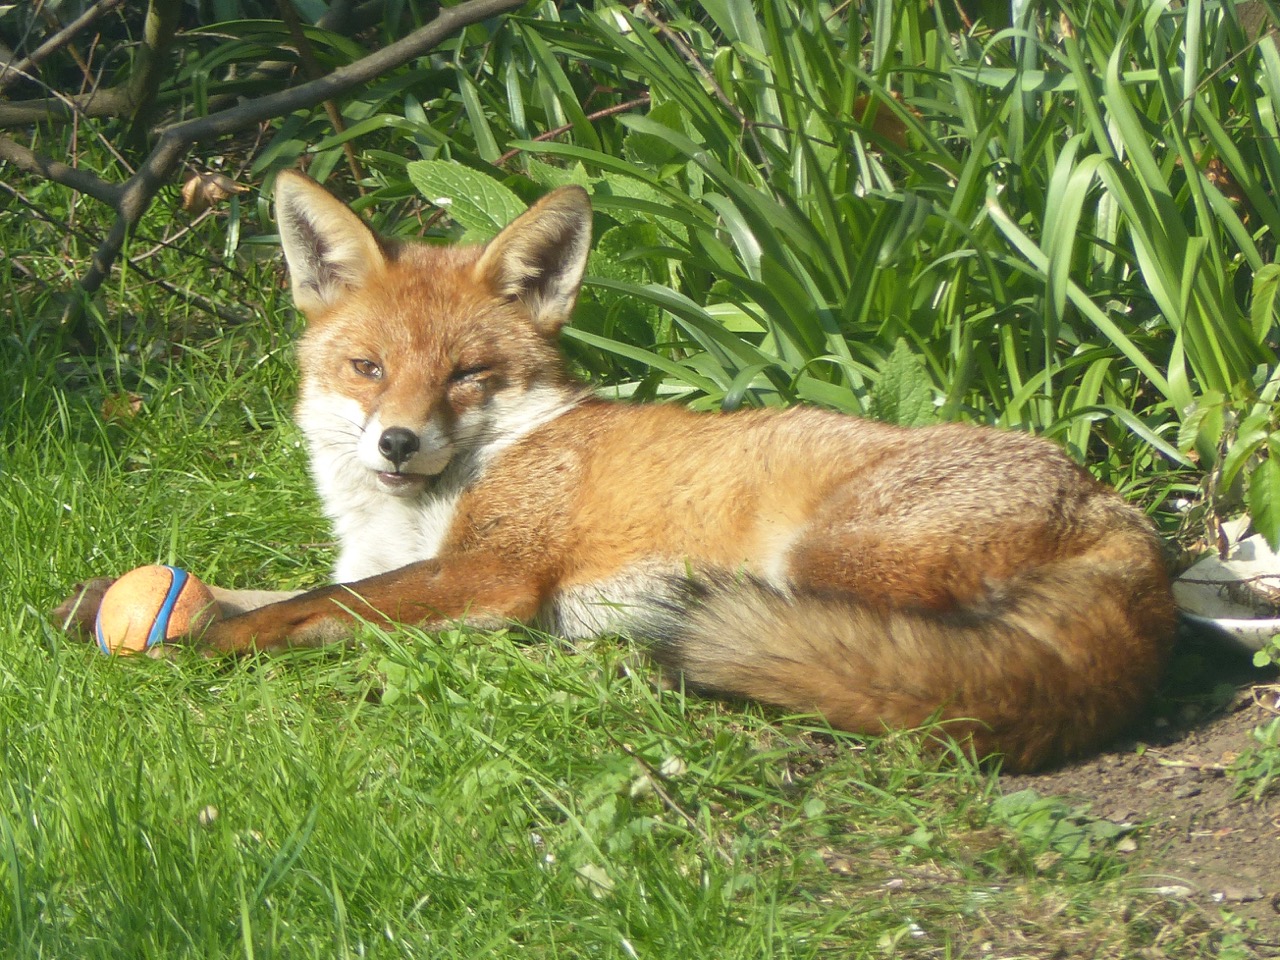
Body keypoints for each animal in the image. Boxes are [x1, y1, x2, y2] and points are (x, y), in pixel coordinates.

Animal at [57, 170, 1177, 772]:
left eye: (465, 375)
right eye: (367, 368)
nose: (396, 443)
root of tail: (1123, 520)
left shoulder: (491, 572)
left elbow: (307, 609)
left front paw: (198, 645)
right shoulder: (400, 562)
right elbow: (289, 587)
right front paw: (119, 603)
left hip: (820, 562)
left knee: (893, 663)